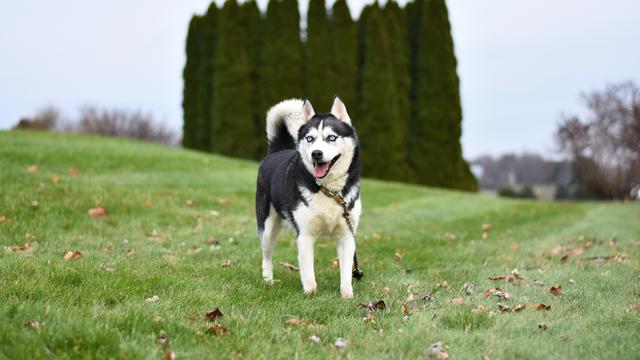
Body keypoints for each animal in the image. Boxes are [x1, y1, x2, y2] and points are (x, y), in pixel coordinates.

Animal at [258, 96, 362, 298]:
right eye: (310, 138)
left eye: (331, 137)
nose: (316, 153)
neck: (329, 191)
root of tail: (278, 150)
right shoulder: (305, 235)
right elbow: (308, 272)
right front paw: (310, 294)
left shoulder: (347, 235)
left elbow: (346, 272)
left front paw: (347, 296)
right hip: (266, 227)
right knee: (266, 255)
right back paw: (268, 280)